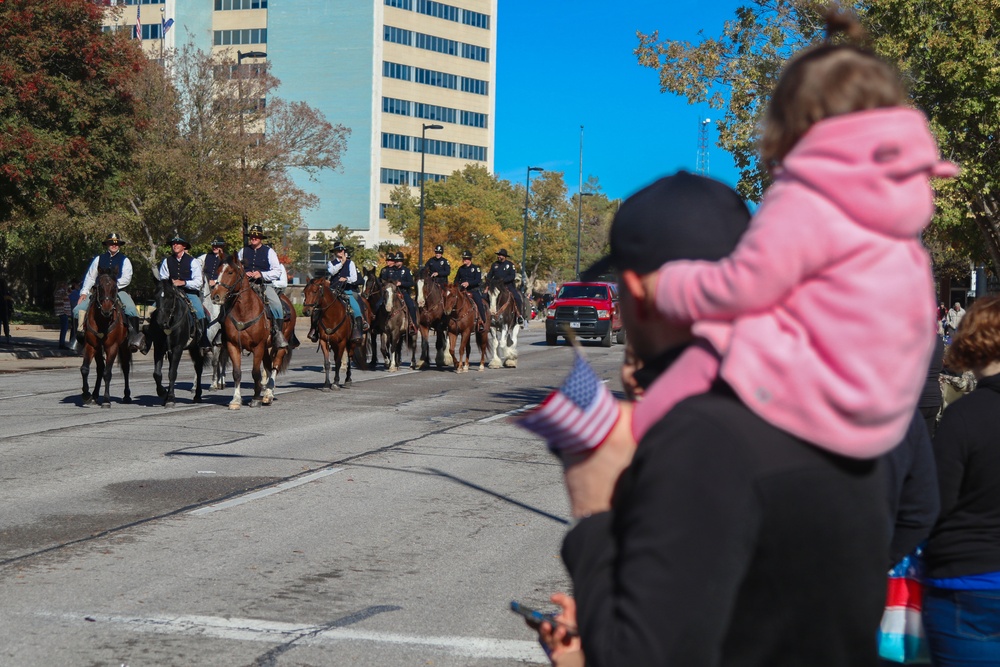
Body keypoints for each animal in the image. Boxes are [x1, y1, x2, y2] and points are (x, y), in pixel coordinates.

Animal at [79, 272, 131, 408]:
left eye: (114, 287)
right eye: (100, 288)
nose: (106, 310)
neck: (103, 321)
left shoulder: (112, 347)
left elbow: (107, 373)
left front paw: (106, 400)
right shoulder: (91, 345)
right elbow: (85, 369)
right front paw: (86, 395)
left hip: (124, 346)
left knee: (125, 367)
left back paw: (127, 395)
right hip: (98, 349)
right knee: (100, 368)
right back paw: (94, 395)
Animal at [209, 258, 274, 410]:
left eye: (230, 272)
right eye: (218, 271)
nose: (216, 296)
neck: (244, 311)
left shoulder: (258, 346)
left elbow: (255, 372)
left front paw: (255, 398)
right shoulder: (233, 346)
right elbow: (237, 373)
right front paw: (236, 400)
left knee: (274, 366)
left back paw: (268, 394)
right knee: (268, 367)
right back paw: (267, 394)